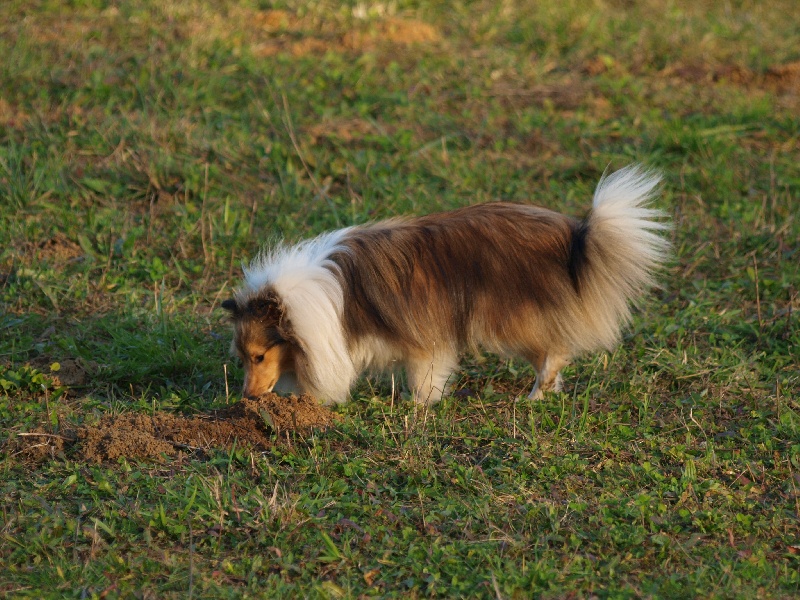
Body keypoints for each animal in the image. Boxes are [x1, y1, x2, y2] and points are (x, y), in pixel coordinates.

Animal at [220, 166, 668, 406]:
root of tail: (573, 235)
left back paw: (536, 395)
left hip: (509, 320)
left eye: (259, 356)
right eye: (242, 358)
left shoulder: (423, 339)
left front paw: (419, 406)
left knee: (554, 352)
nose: (247, 399)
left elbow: (425, 375)